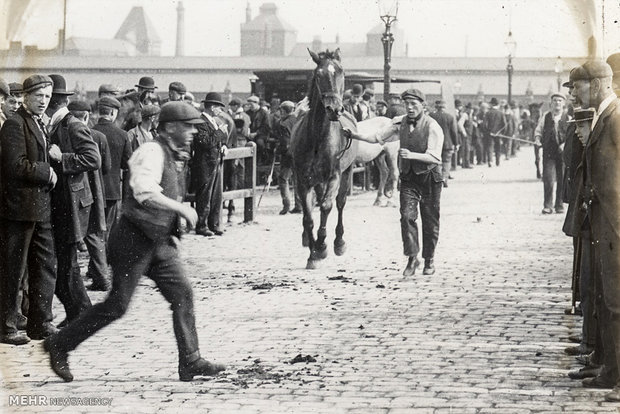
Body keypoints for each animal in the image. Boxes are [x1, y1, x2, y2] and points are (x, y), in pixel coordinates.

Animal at [292, 49, 358, 268]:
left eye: (341, 72)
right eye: (318, 74)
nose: (334, 109)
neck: (317, 138)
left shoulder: (334, 175)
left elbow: (327, 206)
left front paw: (322, 246)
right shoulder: (303, 180)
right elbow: (308, 217)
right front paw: (313, 253)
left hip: (347, 173)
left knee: (340, 203)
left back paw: (338, 242)